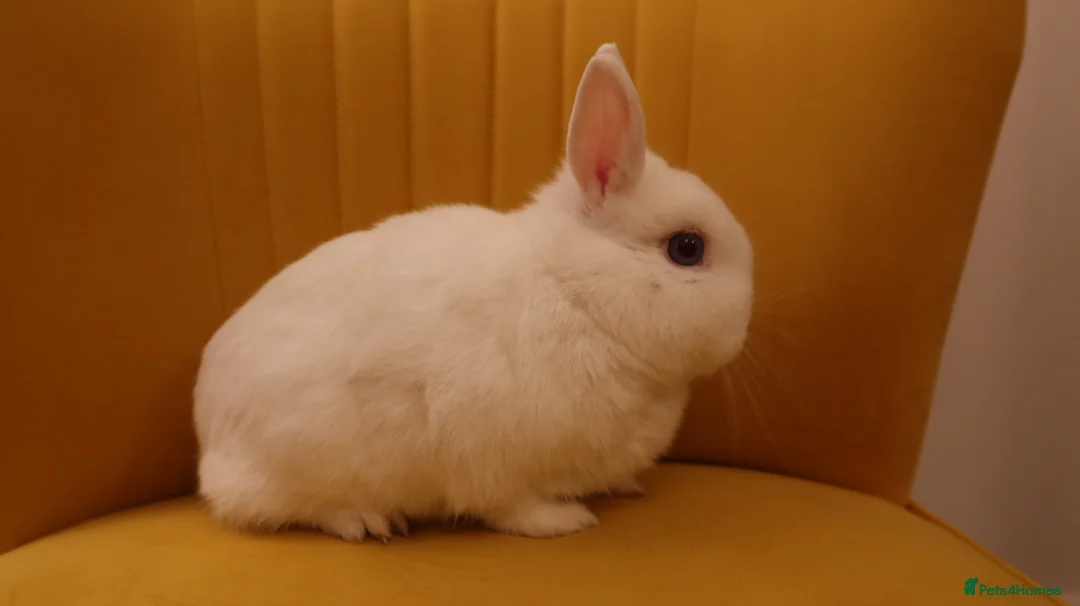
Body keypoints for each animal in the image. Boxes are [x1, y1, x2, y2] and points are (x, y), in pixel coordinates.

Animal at [192, 42, 754, 542]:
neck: (579, 295)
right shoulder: (489, 455)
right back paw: (370, 521)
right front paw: (563, 521)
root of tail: (208, 432)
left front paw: (624, 485)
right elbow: (508, 503)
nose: (744, 328)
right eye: (687, 248)